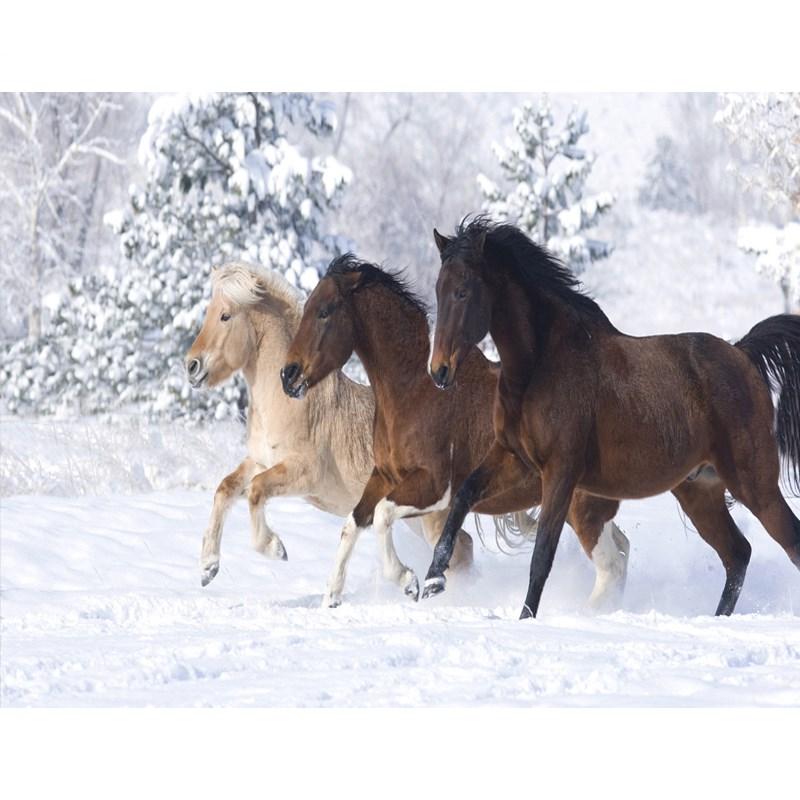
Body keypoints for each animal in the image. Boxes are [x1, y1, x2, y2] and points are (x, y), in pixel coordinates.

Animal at [184, 260, 534, 600]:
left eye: (225, 315)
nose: (191, 366)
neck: (288, 403)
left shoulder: (303, 473)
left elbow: (256, 491)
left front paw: (276, 549)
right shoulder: (259, 461)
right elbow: (225, 488)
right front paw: (207, 568)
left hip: (430, 515)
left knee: (460, 549)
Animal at [281, 254, 631, 608]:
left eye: (325, 311)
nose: (288, 375)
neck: (414, 390)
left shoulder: (435, 487)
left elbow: (381, 516)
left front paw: (410, 581)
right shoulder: (384, 476)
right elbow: (352, 523)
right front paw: (331, 597)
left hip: (581, 508)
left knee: (611, 566)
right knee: (621, 550)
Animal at [423, 216, 800, 620]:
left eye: (463, 292)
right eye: (438, 289)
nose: (439, 371)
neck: (540, 365)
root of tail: (742, 354)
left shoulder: (561, 472)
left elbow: (542, 556)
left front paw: (525, 618)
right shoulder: (514, 459)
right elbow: (463, 496)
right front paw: (433, 580)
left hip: (754, 483)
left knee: (786, 542)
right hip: (700, 491)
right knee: (737, 555)